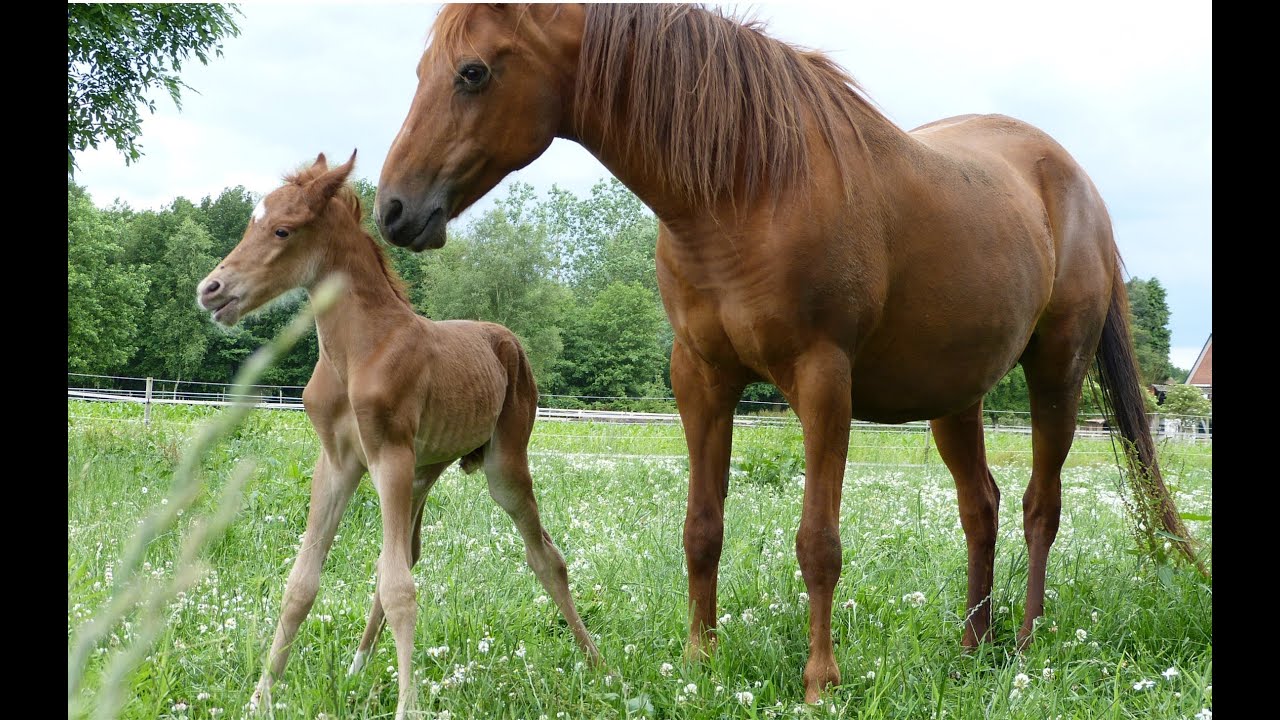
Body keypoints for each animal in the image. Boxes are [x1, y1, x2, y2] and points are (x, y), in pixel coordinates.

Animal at [373, 2, 1203, 702]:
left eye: (473, 71)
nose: (392, 209)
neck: (748, 188)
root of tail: (1072, 178)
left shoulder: (822, 379)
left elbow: (818, 542)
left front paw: (819, 683)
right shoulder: (701, 377)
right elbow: (701, 528)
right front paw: (698, 662)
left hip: (1056, 373)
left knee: (1040, 506)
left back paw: (1026, 647)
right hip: (955, 398)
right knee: (983, 507)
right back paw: (973, 647)